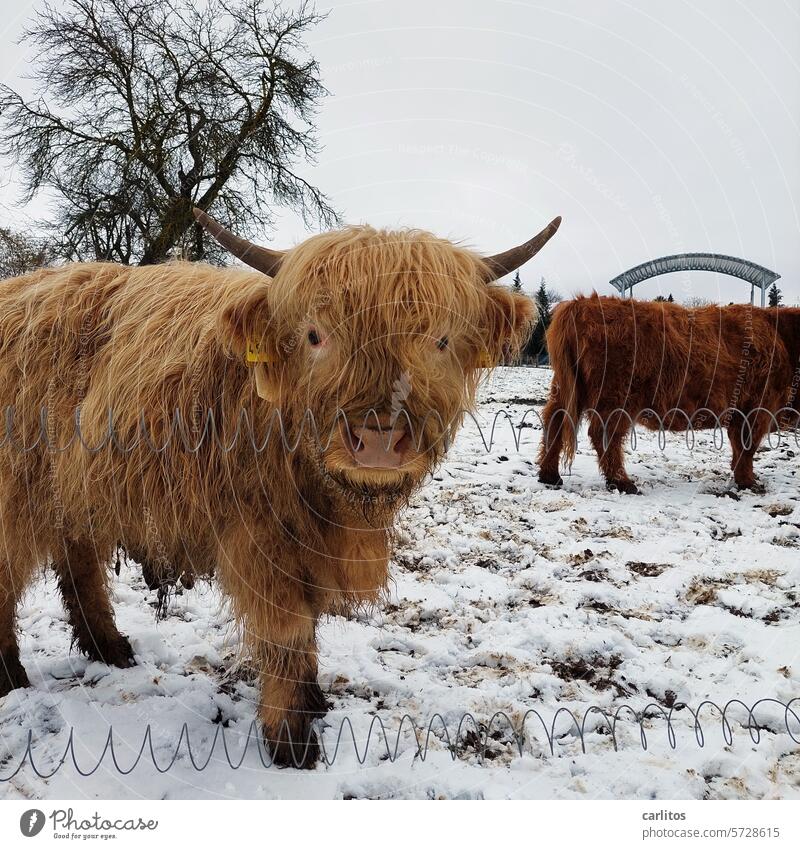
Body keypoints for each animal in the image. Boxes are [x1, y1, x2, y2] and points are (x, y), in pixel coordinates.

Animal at [0, 209, 560, 764]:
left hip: (73, 487)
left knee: (77, 559)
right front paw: (290, 739)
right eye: (315, 335)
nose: (378, 441)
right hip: (17, 491)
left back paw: (108, 647)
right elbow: (287, 628)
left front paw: (313, 704)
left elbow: (307, 627)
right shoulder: (259, 537)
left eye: (440, 340)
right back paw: (12, 674)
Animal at [536, 294, 800, 490]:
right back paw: (622, 482)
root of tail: (581, 303)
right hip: (616, 396)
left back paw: (550, 476)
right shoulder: (757, 407)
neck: (784, 339)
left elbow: (741, 447)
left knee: (554, 420)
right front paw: (749, 482)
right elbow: (747, 446)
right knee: (604, 434)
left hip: (567, 388)